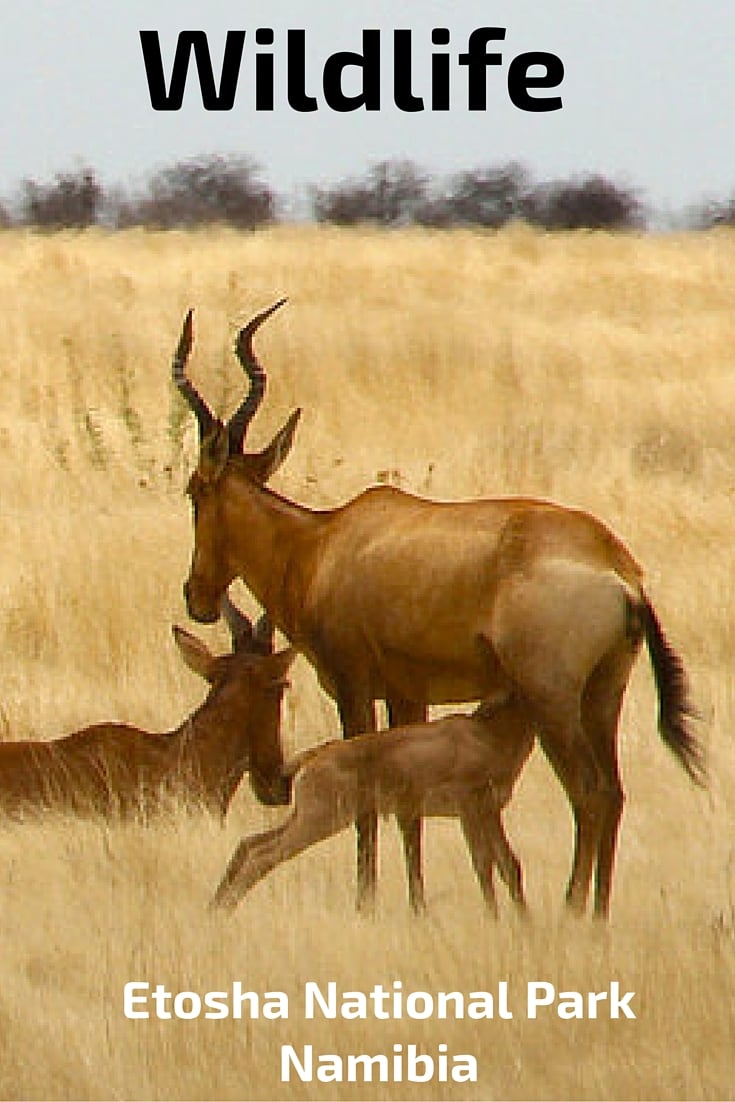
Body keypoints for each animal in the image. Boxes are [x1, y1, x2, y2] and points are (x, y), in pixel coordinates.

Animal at [212, 696, 535, 912]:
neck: (487, 733)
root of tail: (317, 754)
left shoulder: (490, 812)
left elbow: (509, 865)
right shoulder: (470, 810)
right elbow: (484, 864)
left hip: (308, 818)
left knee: (250, 843)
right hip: (319, 822)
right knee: (262, 856)